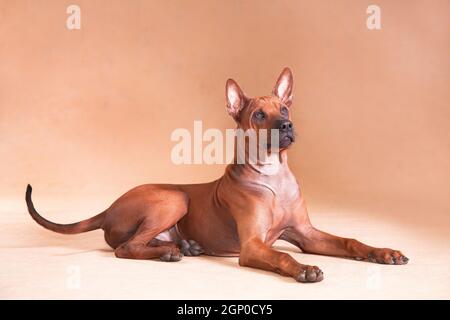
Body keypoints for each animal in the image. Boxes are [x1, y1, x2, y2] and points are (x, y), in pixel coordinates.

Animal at [26, 68, 410, 282]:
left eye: (284, 109)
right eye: (259, 115)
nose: (286, 126)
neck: (273, 176)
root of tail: (108, 208)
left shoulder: (306, 234)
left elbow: (350, 241)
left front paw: (383, 252)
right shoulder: (253, 246)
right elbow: (283, 255)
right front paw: (303, 269)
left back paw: (184, 246)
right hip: (173, 197)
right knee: (125, 247)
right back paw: (170, 253)